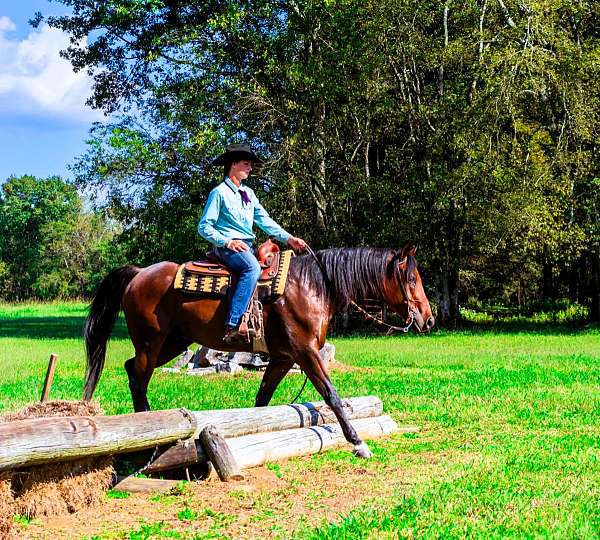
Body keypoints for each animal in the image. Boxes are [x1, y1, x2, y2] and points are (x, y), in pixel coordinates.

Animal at [83, 243, 432, 458]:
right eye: (411, 278)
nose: (428, 318)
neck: (314, 286)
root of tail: (139, 273)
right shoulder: (306, 353)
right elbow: (331, 394)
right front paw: (358, 443)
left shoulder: (282, 359)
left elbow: (262, 399)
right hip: (151, 340)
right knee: (139, 377)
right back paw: (153, 441)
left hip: (173, 342)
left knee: (132, 368)